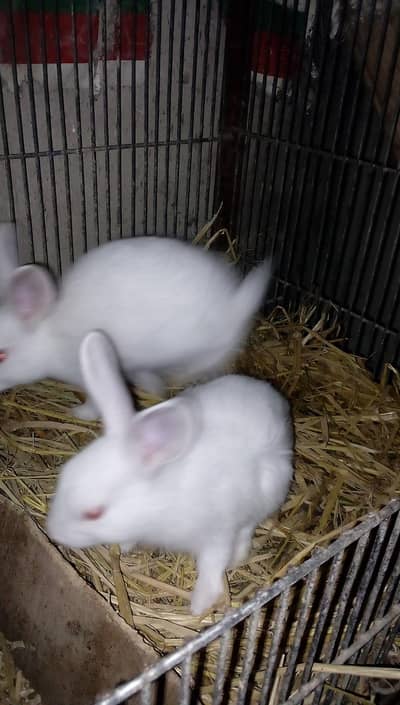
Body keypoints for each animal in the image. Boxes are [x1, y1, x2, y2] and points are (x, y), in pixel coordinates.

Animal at [0, 223, 271, 420]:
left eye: (2, 355)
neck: (51, 334)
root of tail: (234, 302)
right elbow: (145, 377)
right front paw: (155, 390)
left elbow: (95, 401)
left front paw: (79, 413)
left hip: (204, 349)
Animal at [46, 330, 294, 616]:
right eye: (63, 477)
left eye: (94, 513)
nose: (53, 532)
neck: (161, 498)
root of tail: (276, 401)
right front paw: (124, 547)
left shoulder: (217, 533)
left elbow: (211, 566)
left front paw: (199, 606)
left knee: (247, 528)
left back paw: (239, 556)